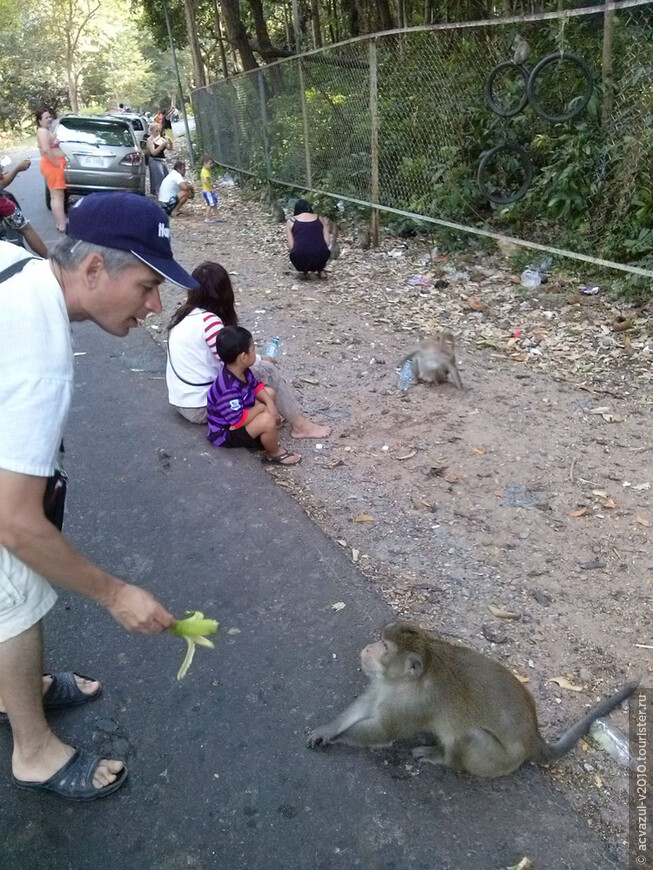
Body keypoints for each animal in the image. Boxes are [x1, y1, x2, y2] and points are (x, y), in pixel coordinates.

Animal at [306, 624, 636, 780]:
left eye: (384, 647)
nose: (368, 648)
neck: (408, 681)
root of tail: (533, 738)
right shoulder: (385, 686)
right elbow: (366, 705)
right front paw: (328, 729)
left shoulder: (415, 704)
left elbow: (383, 733)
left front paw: (338, 739)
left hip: (498, 761)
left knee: (470, 737)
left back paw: (442, 758)